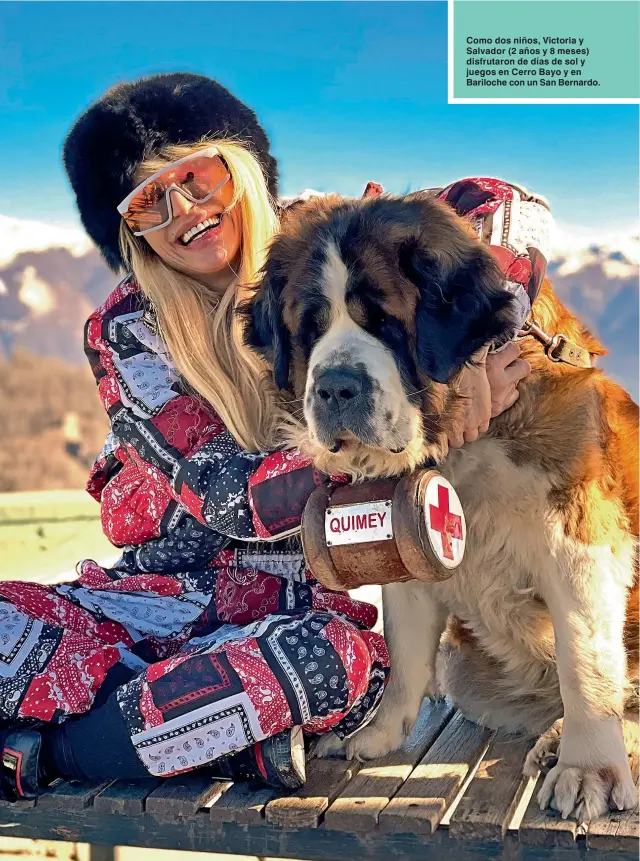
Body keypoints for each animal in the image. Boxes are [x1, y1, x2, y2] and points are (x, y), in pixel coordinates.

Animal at [242, 186, 636, 820]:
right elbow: (405, 655)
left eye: (386, 322)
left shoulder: (576, 541)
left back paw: (566, 749)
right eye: (310, 327)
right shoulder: (403, 542)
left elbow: (587, 663)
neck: (459, 438)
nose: (335, 387)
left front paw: (589, 770)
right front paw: (375, 737)